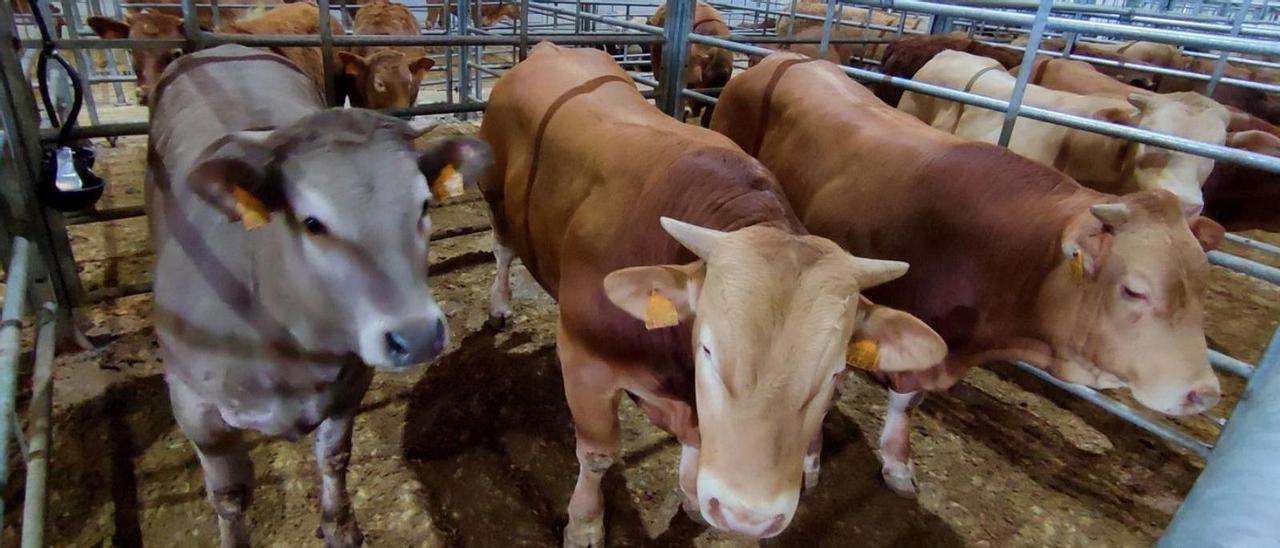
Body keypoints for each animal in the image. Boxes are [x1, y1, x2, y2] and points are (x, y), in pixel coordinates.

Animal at [147, 44, 491, 545]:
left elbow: (334, 457)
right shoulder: (195, 410)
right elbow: (229, 495)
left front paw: (340, 525)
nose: (417, 337)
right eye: (312, 223)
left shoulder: (350, 384)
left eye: (424, 205)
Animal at [476, 41, 947, 542]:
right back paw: (500, 305)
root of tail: (552, 47)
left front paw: (691, 496)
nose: (749, 517)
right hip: (497, 200)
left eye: (837, 373)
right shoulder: (586, 361)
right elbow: (597, 456)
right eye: (707, 349)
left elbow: (696, 446)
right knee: (502, 250)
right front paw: (585, 522)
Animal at [716, 53, 1223, 499]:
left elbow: (906, 404)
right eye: (1134, 290)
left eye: (1203, 289)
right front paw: (808, 462)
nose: (1203, 393)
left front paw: (897, 464)